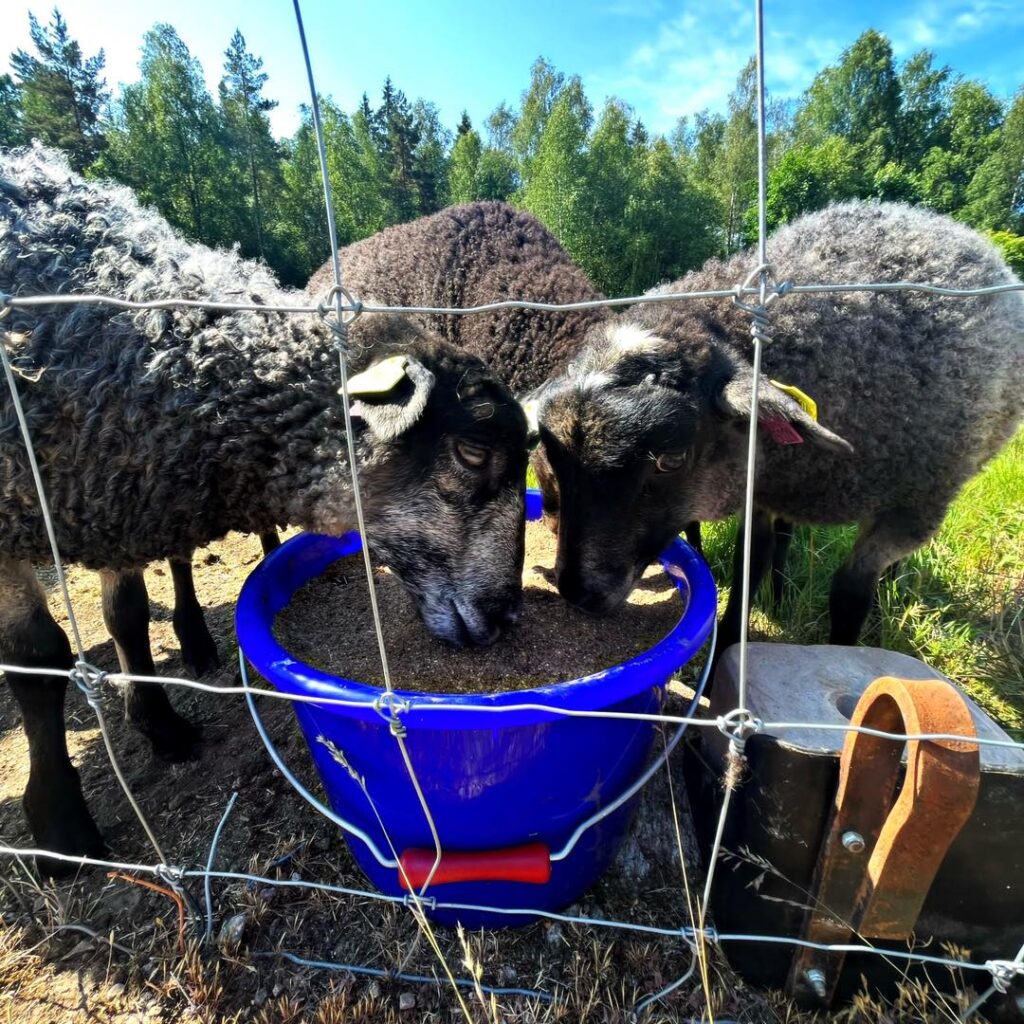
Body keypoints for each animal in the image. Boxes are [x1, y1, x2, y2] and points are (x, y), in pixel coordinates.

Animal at [0, 146, 528, 868]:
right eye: (473, 450)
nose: (506, 615)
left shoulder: (114, 489)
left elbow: (127, 615)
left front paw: (160, 725)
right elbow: (39, 656)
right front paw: (61, 827)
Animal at [528, 201, 1024, 656]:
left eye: (670, 460)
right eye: (554, 463)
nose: (576, 592)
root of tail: (930, 217)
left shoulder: (911, 508)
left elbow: (849, 593)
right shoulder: (758, 486)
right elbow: (749, 566)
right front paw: (728, 650)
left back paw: (886, 595)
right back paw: (782, 591)